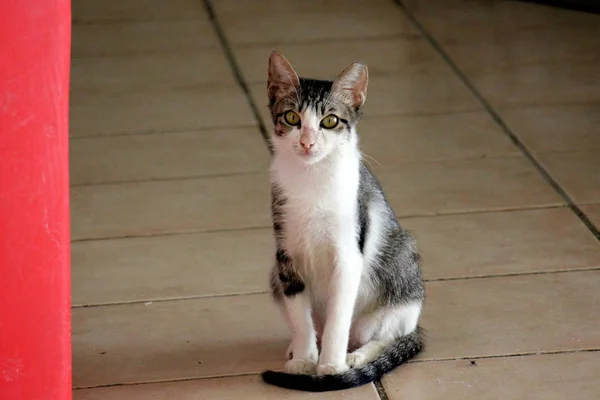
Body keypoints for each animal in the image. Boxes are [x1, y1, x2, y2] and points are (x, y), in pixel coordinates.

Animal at [260, 51, 424, 392]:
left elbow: (339, 314)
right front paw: (304, 359)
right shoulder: (286, 254)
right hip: (273, 274)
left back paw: (358, 356)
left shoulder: (349, 256)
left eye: (330, 121)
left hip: (401, 273)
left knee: (391, 334)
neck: (312, 179)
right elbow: (299, 314)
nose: (307, 143)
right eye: (292, 118)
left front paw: (330, 366)